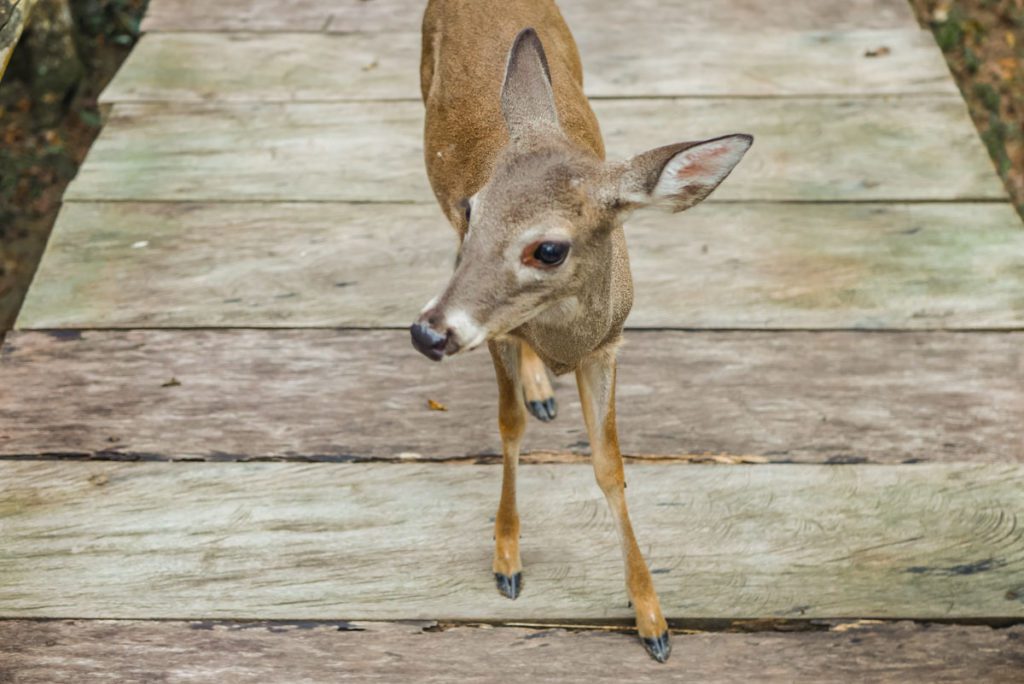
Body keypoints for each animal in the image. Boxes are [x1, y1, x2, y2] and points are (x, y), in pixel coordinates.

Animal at [407, 0, 753, 663]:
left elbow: (609, 465)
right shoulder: (497, 333)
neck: (565, 339)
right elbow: (509, 427)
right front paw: (507, 561)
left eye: (548, 248)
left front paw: (653, 620)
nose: (428, 334)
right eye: (472, 210)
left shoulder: (610, 344)